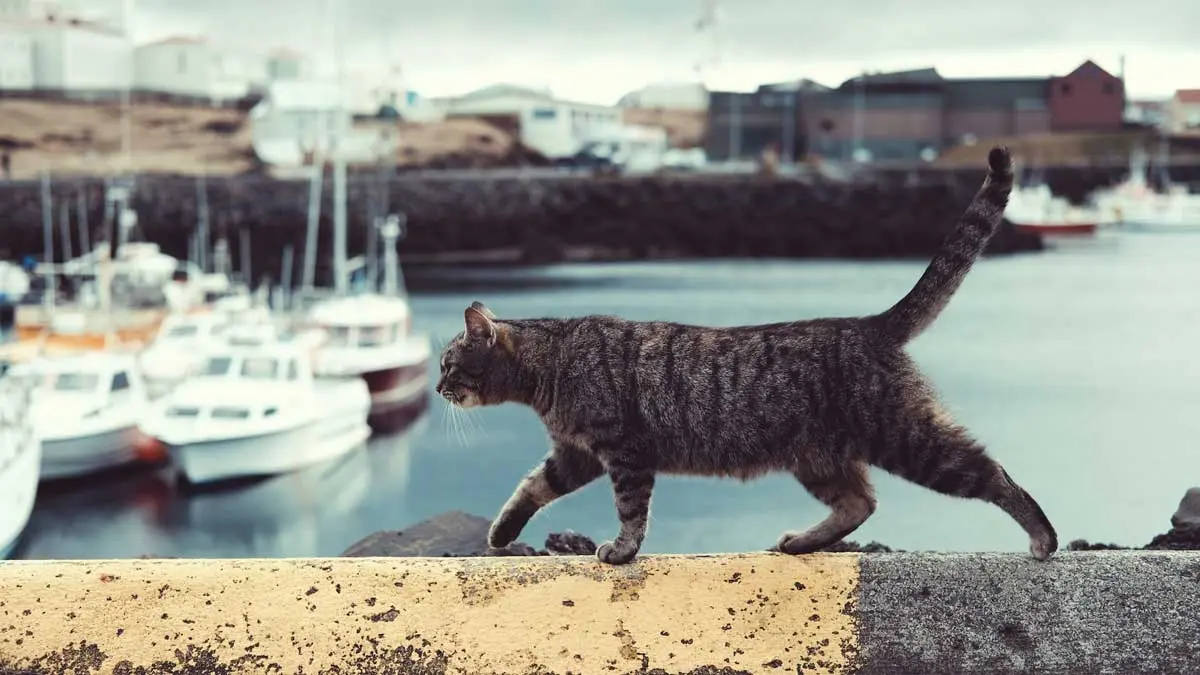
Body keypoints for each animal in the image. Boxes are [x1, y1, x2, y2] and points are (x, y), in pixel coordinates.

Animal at [436, 147, 1056, 562]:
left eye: (447, 365)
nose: (438, 389)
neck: (552, 363)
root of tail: (870, 325)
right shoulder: (576, 454)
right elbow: (530, 488)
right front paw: (501, 533)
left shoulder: (623, 450)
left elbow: (631, 510)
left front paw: (622, 550)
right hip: (819, 459)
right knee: (859, 504)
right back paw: (803, 542)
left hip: (908, 439)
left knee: (990, 472)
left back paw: (1042, 536)